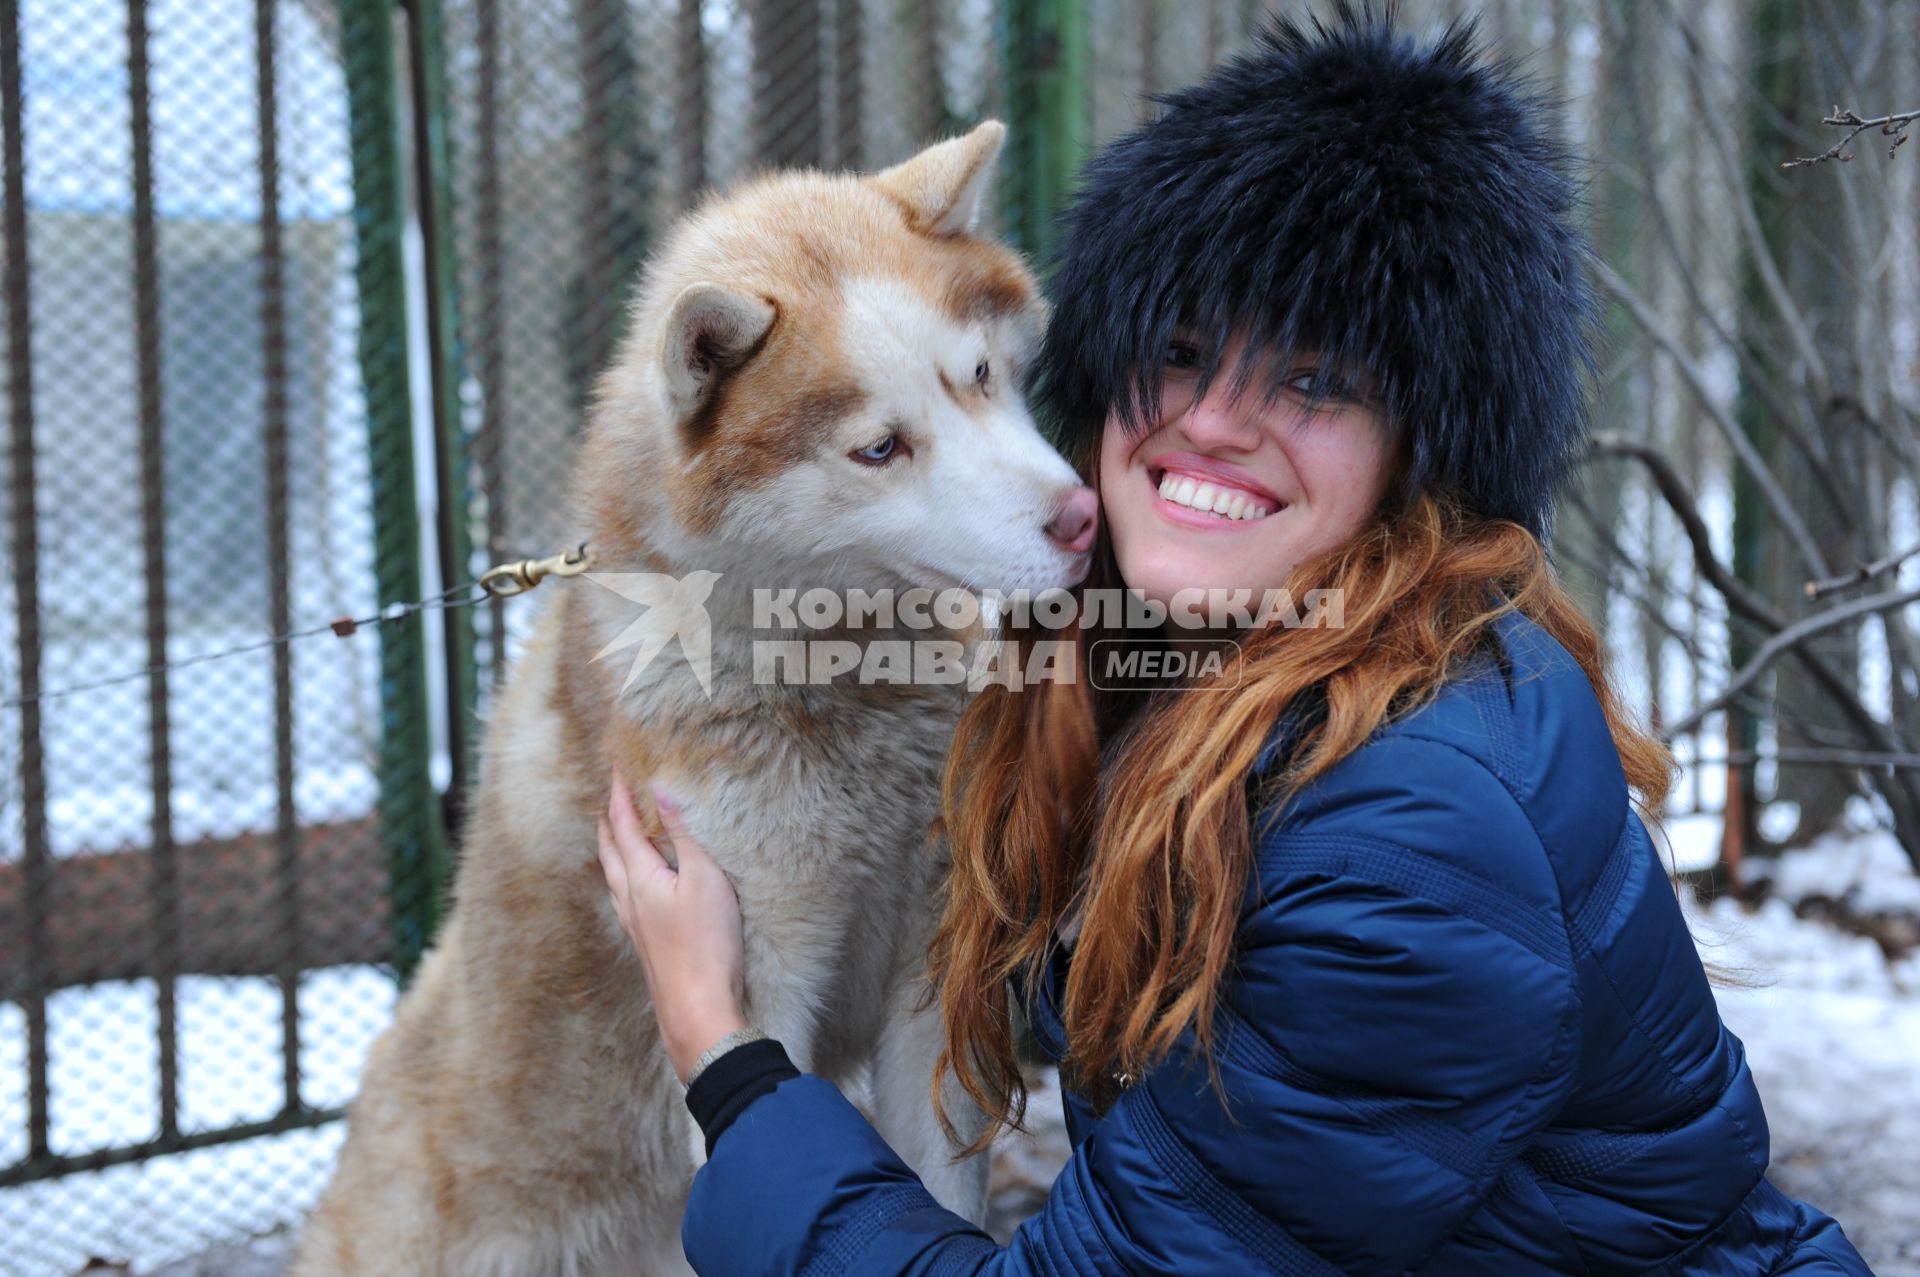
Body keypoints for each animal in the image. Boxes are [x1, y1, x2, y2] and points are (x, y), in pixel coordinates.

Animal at [286, 126, 1098, 1275]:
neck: (852, 691)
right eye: (880, 446)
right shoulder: (753, 989)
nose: (1081, 516)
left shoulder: (934, 991)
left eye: (979, 376)